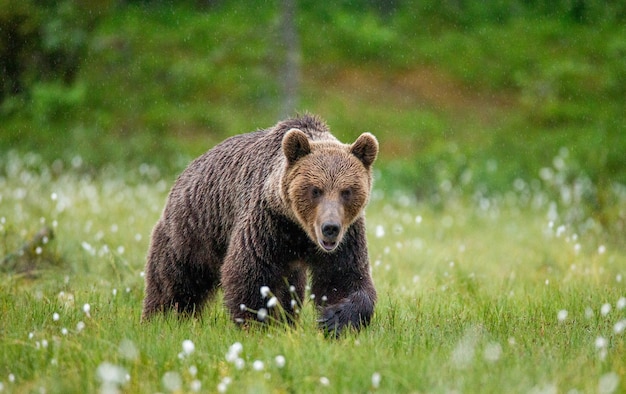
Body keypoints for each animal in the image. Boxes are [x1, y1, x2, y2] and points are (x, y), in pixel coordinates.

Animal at [141, 114, 376, 336]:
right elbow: (250, 272)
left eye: (347, 191)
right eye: (315, 189)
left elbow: (344, 277)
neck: (299, 231)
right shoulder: (267, 224)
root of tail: (184, 173)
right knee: (174, 280)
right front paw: (257, 324)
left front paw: (335, 320)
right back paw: (160, 318)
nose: (330, 228)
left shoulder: (347, 236)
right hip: (192, 230)